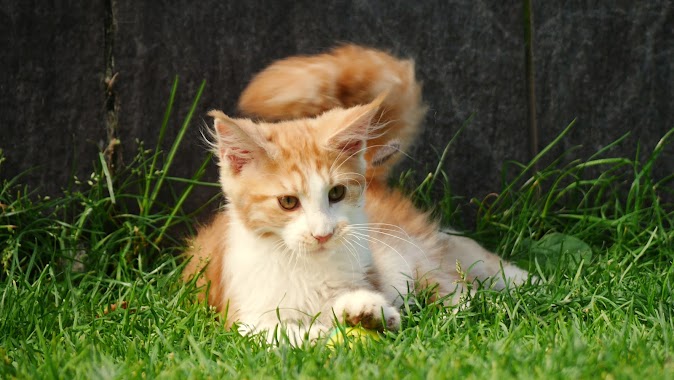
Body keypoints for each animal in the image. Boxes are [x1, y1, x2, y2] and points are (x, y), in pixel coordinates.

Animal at [182, 44, 532, 344]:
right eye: (288, 202)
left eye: (336, 193)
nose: (322, 234)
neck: (307, 268)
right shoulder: (243, 316)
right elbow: (282, 333)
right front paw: (322, 333)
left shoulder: (373, 272)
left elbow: (369, 299)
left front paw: (371, 314)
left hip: (415, 250)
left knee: (459, 276)